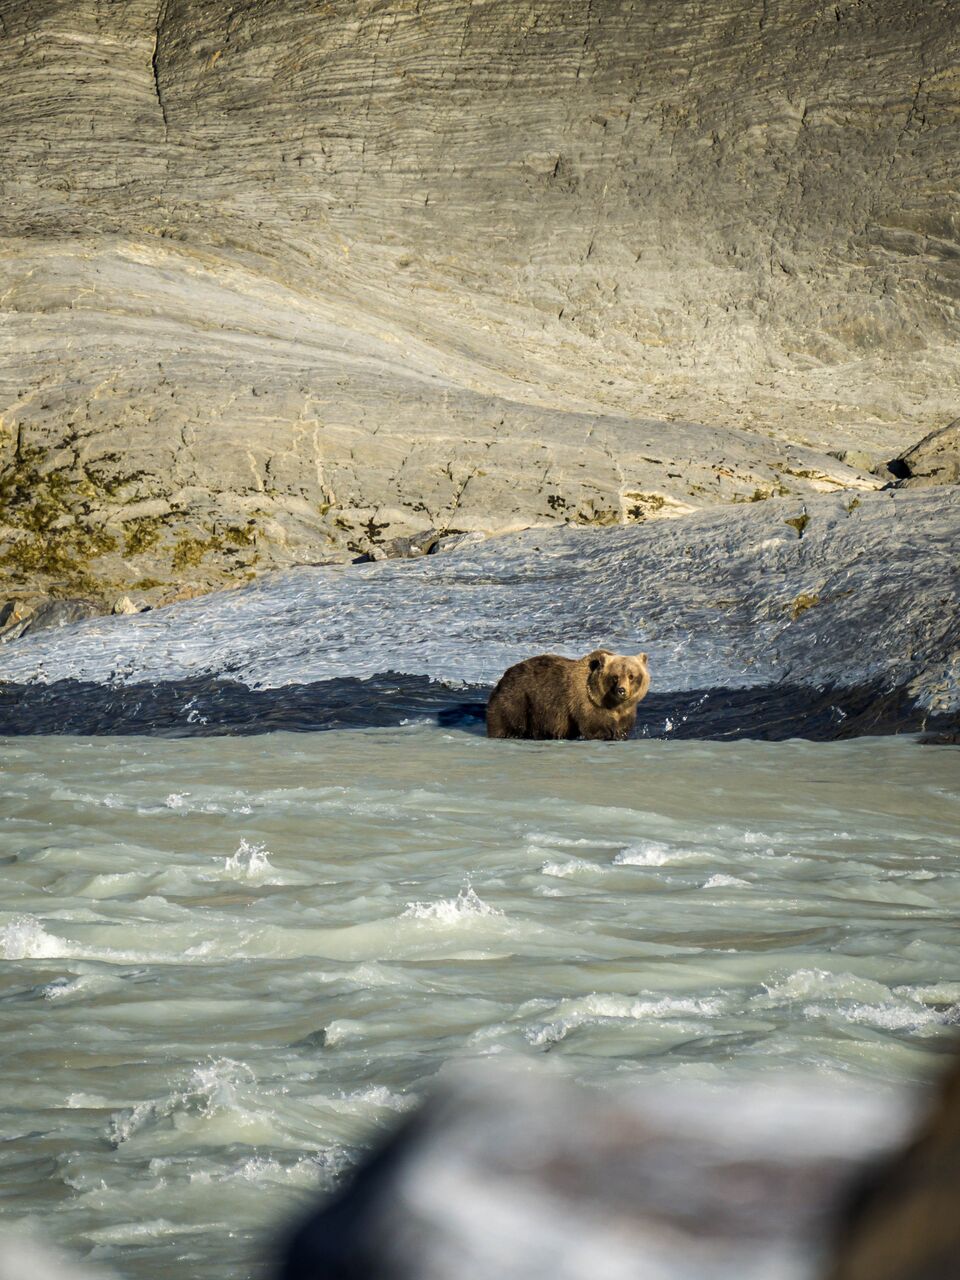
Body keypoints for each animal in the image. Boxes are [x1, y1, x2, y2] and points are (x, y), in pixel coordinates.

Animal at [488, 650, 655, 742]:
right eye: (615, 676)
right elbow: (595, 727)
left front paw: (620, 735)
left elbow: (623, 727)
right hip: (518, 699)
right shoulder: (587, 704)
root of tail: (505, 675)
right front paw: (608, 734)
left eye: (631, 676)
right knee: (506, 721)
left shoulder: (626, 711)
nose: (621, 690)